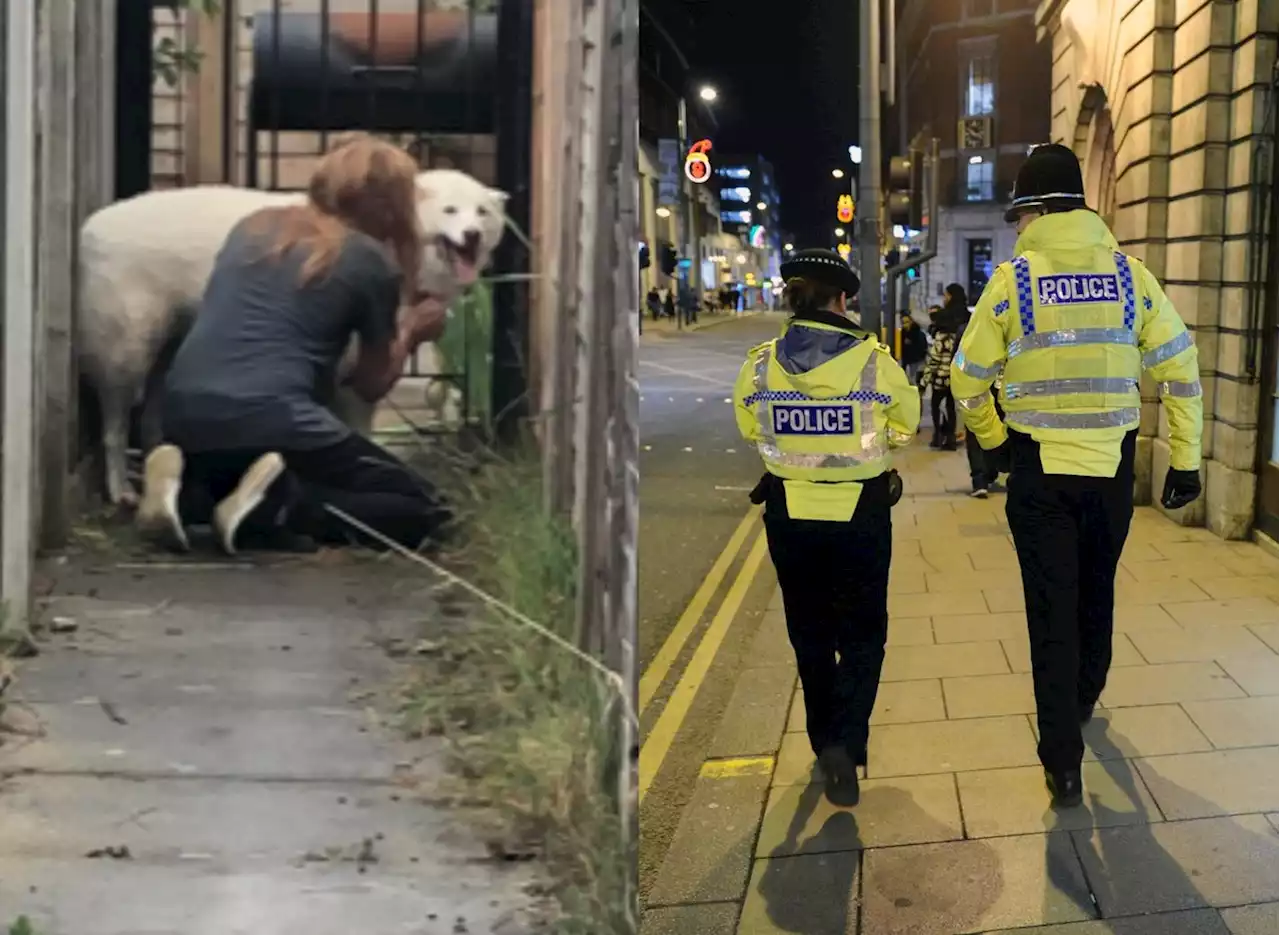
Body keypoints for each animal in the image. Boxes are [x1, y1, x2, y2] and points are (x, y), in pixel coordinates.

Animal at [76, 166, 509, 502]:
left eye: (482, 212)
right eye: (450, 210)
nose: (472, 235)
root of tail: (90, 227)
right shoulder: (353, 366)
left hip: (167, 349)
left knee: (151, 421)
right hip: (126, 350)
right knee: (114, 426)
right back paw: (120, 489)